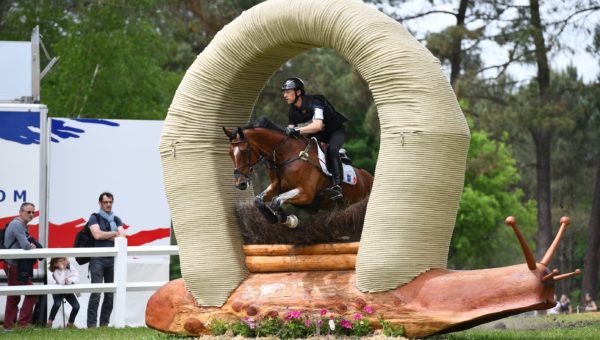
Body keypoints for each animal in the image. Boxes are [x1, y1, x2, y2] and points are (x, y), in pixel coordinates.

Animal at [223, 117, 372, 228]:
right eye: (230, 153)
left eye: (244, 151)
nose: (240, 183)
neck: (286, 154)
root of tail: (369, 177)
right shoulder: (277, 186)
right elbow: (259, 200)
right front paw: (275, 218)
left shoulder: (306, 193)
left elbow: (276, 200)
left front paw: (288, 220)